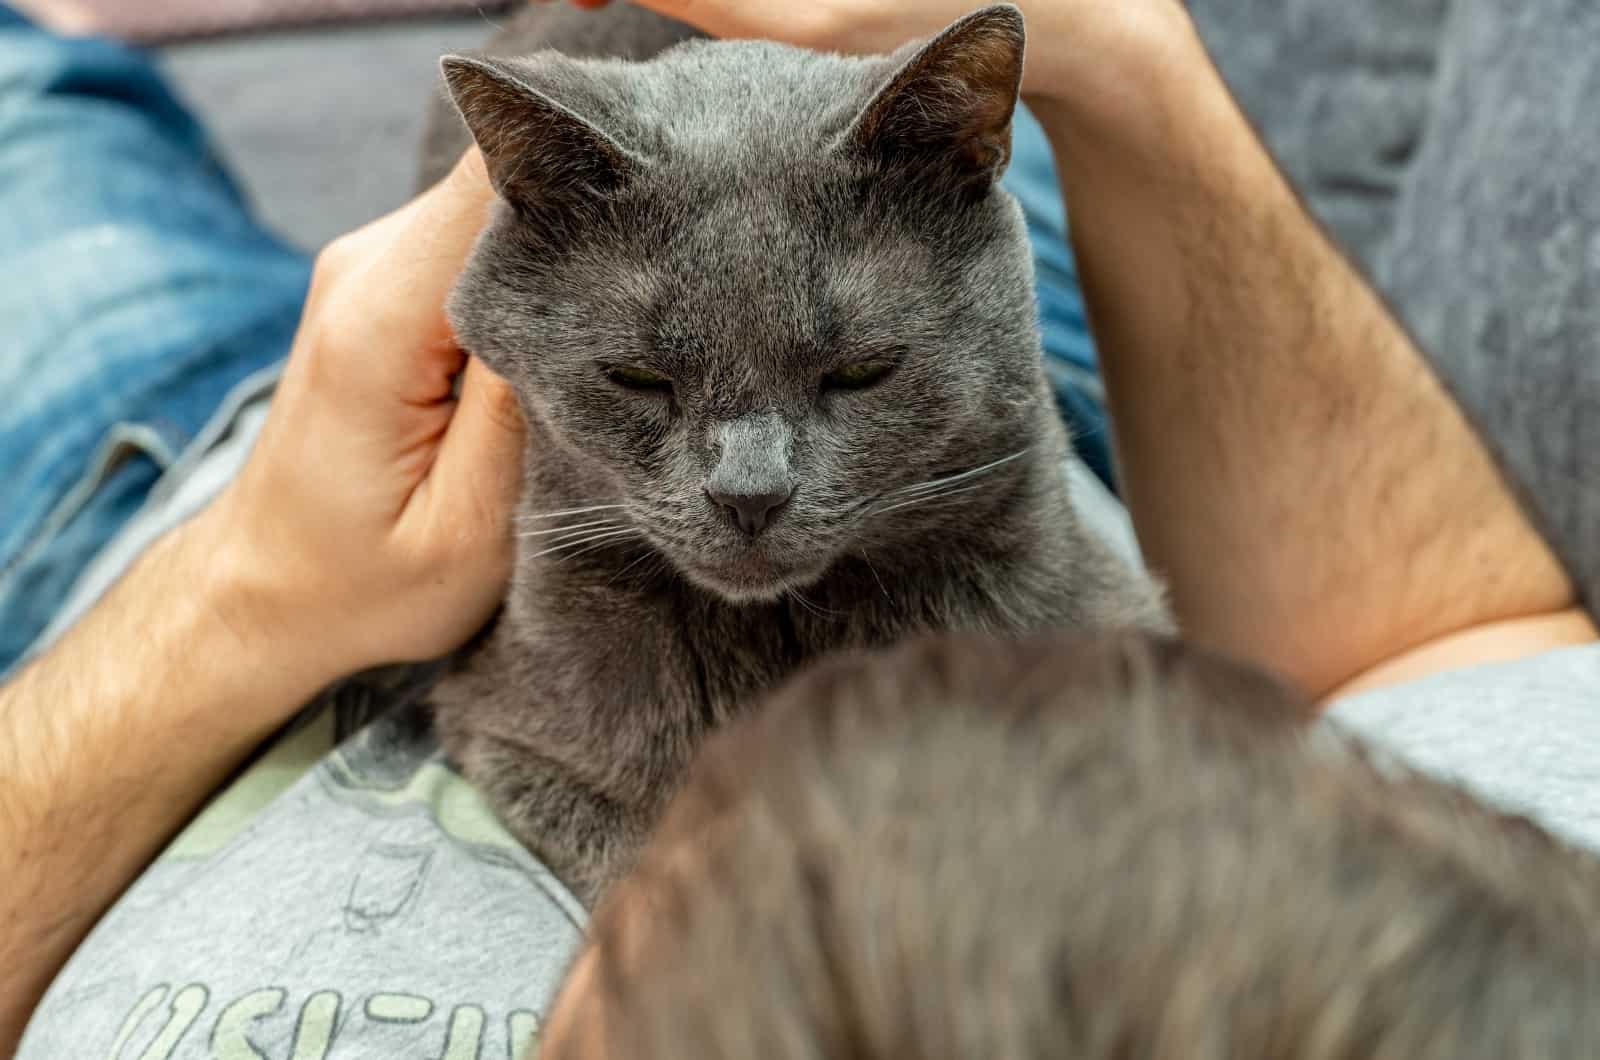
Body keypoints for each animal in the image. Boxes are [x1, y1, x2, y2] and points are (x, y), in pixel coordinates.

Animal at [416, 4, 1164, 909]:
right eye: (639, 377)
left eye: (862, 371)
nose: (750, 493)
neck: (778, 636)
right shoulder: (514, 728)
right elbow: (646, 861)